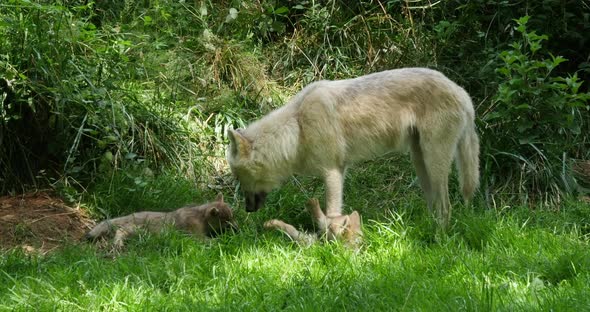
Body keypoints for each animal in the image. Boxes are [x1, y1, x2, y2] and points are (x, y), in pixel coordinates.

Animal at [85, 194, 236, 247]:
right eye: (226, 221)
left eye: (232, 217)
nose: (237, 229)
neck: (201, 216)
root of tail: (130, 214)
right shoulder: (194, 235)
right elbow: (210, 240)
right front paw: (223, 241)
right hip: (137, 230)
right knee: (120, 231)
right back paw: (118, 244)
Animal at [227, 67, 480, 228]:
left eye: (238, 178)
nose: (247, 209)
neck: (297, 128)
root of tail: (463, 94)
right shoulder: (338, 170)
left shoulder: (332, 172)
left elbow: (331, 213)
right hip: (420, 164)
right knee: (436, 205)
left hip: (434, 163)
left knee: (447, 206)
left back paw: (440, 238)